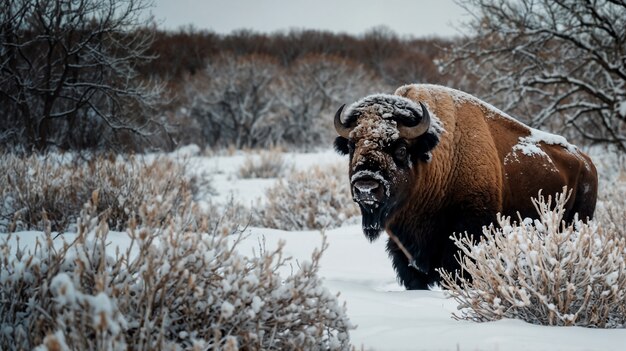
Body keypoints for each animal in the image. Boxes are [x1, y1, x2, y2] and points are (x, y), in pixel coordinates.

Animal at [332, 84, 596, 290]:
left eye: (401, 149)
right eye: (352, 146)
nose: (366, 186)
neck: (438, 161)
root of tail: (586, 162)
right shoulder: (404, 250)